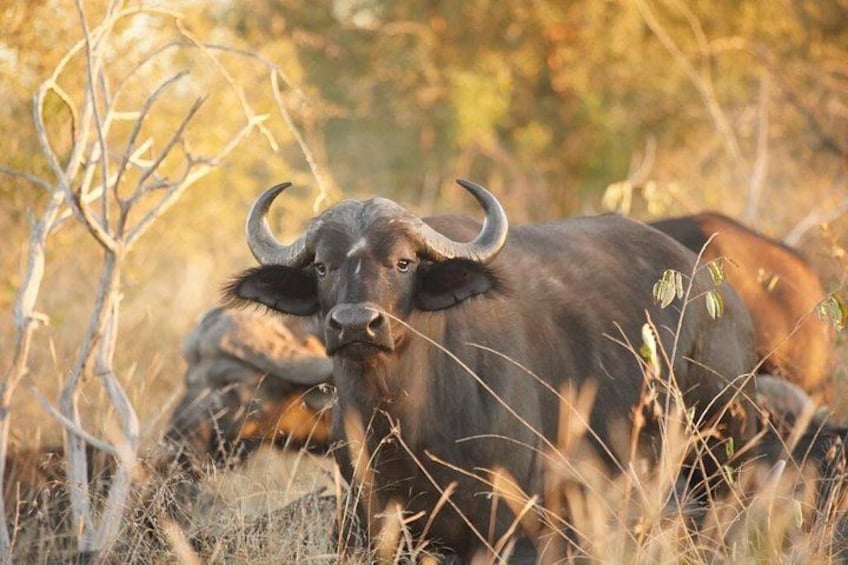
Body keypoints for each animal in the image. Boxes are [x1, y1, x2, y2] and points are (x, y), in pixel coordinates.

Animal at [226, 180, 759, 561]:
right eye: (322, 266)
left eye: (403, 263)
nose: (357, 324)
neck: (404, 425)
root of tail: (720, 296)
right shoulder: (374, 525)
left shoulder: (511, 529)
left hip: (718, 457)